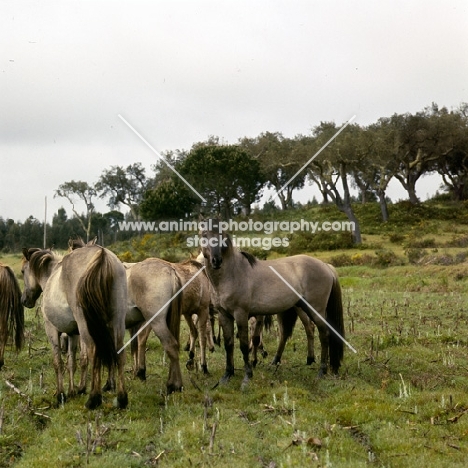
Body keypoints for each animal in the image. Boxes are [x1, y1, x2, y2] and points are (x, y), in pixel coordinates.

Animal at [21, 245, 128, 410]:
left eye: (22, 271)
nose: (24, 300)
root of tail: (101, 255)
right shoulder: (73, 334)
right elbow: (72, 362)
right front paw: (73, 391)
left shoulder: (52, 330)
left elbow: (58, 362)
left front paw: (61, 395)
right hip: (117, 322)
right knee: (119, 352)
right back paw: (122, 399)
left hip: (87, 327)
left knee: (94, 352)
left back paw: (93, 399)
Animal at [199, 221, 346, 386]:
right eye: (204, 235)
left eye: (221, 234)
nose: (216, 260)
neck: (232, 273)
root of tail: (326, 265)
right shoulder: (224, 315)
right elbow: (228, 344)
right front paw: (227, 375)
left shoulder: (241, 314)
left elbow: (244, 345)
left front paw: (247, 376)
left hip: (315, 310)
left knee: (324, 335)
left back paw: (322, 371)